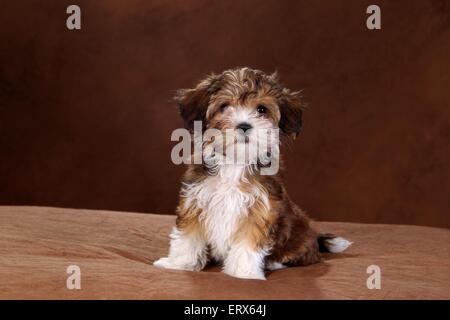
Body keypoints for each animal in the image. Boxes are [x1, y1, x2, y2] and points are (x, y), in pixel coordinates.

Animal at [155, 68, 352, 280]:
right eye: (224, 106)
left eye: (261, 109)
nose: (244, 125)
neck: (235, 162)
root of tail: (314, 237)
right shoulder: (195, 200)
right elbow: (188, 237)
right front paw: (179, 264)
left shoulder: (259, 210)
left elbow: (248, 243)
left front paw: (245, 273)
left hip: (299, 238)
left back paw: (274, 263)